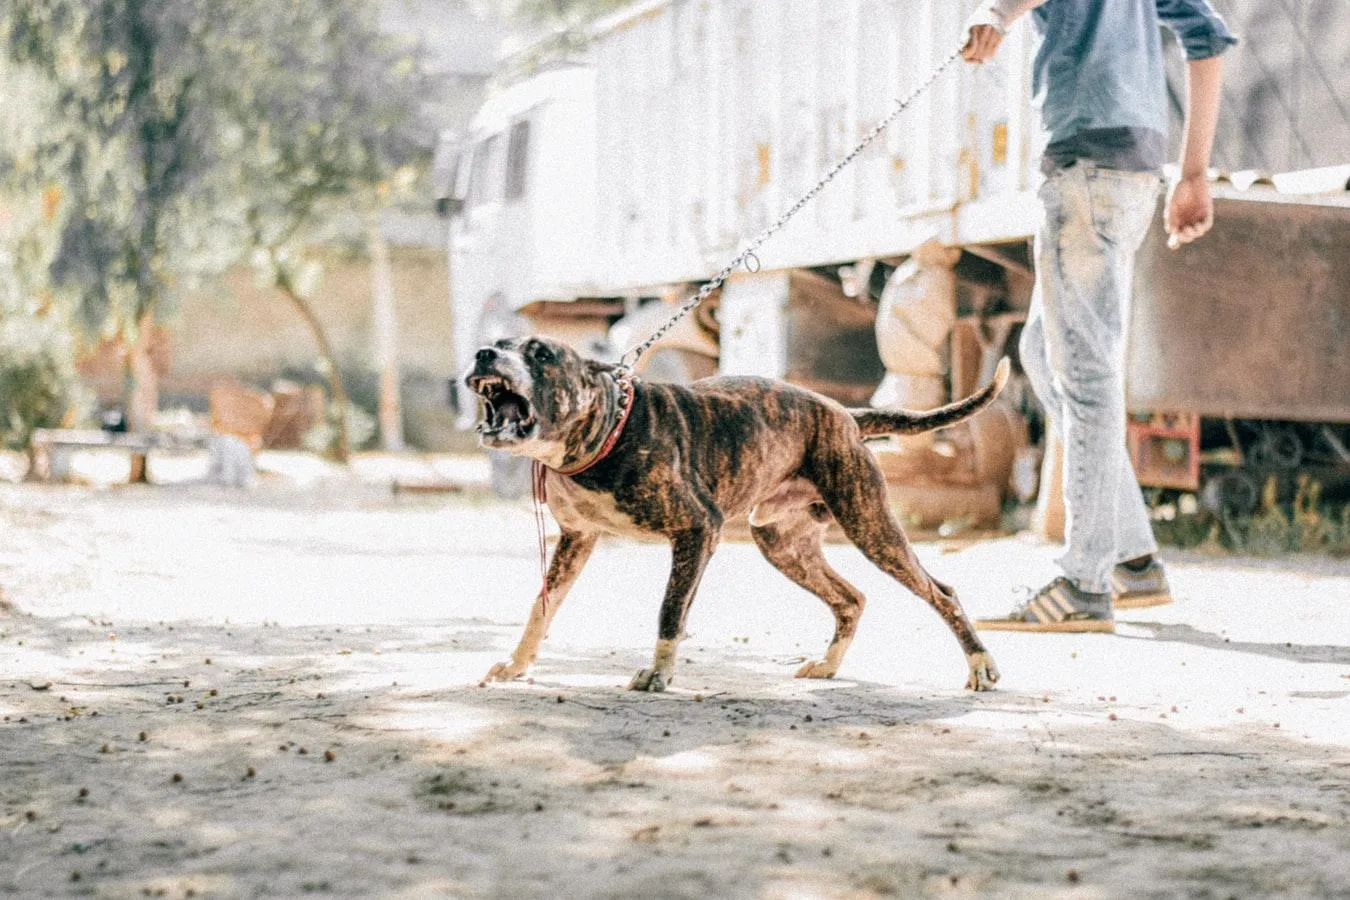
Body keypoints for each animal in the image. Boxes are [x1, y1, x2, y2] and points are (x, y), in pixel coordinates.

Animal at [469, 337, 1009, 696]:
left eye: (541, 354)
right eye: (500, 343)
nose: (482, 354)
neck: (606, 433)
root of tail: (845, 416)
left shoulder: (696, 529)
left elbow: (670, 609)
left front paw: (659, 674)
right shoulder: (576, 539)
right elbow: (541, 607)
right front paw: (516, 667)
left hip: (869, 525)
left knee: (941, 592)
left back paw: (980, 665)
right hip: (782, 543)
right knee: (851, 598)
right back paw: (827, 666)